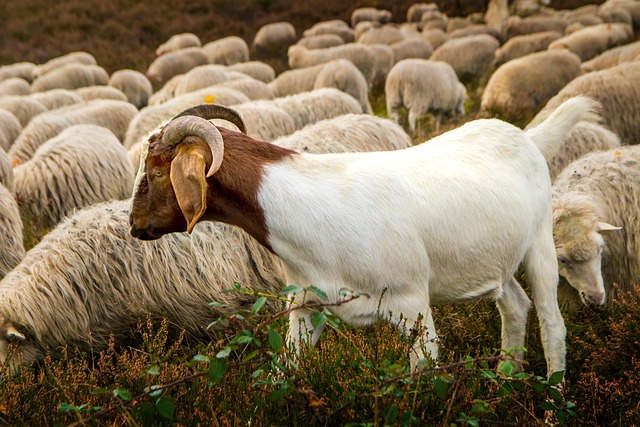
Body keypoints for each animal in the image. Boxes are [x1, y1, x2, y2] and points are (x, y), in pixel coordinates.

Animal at [129, 97, 599, 378]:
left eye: (157, 169)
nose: (134, 226)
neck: (307, 205)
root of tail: (525, 135)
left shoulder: (412, 304)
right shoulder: (307, 307)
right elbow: (285, 372)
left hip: (540, 246)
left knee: (553, 326)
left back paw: (553, 399)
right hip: (496, 262)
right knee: (515, 307)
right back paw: (505, 383)